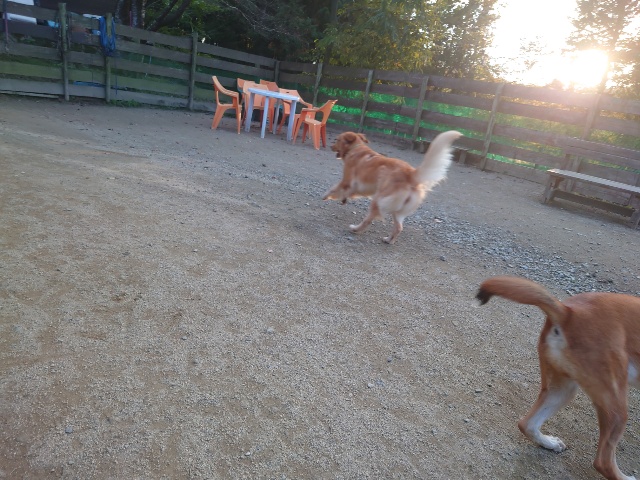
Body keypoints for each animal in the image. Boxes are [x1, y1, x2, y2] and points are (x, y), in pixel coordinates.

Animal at [323, 130, 462, 244]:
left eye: (337, 139)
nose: (330, 146)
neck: (356, 148)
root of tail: (411, 174)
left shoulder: (347, 180)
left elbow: (334, 188)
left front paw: (325, 196)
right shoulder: (360, 186)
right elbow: (347, 192)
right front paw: (343, 199)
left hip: (379, 199)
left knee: (368, 220)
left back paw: (355, 229)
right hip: (396, 209)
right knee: (399, 227)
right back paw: (389, 240)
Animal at [476, 275, 640, 480]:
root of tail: (569, 313)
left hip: (563, 390)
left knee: (527, 424)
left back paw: (550, 443)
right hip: (616, 407)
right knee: (603, 462)